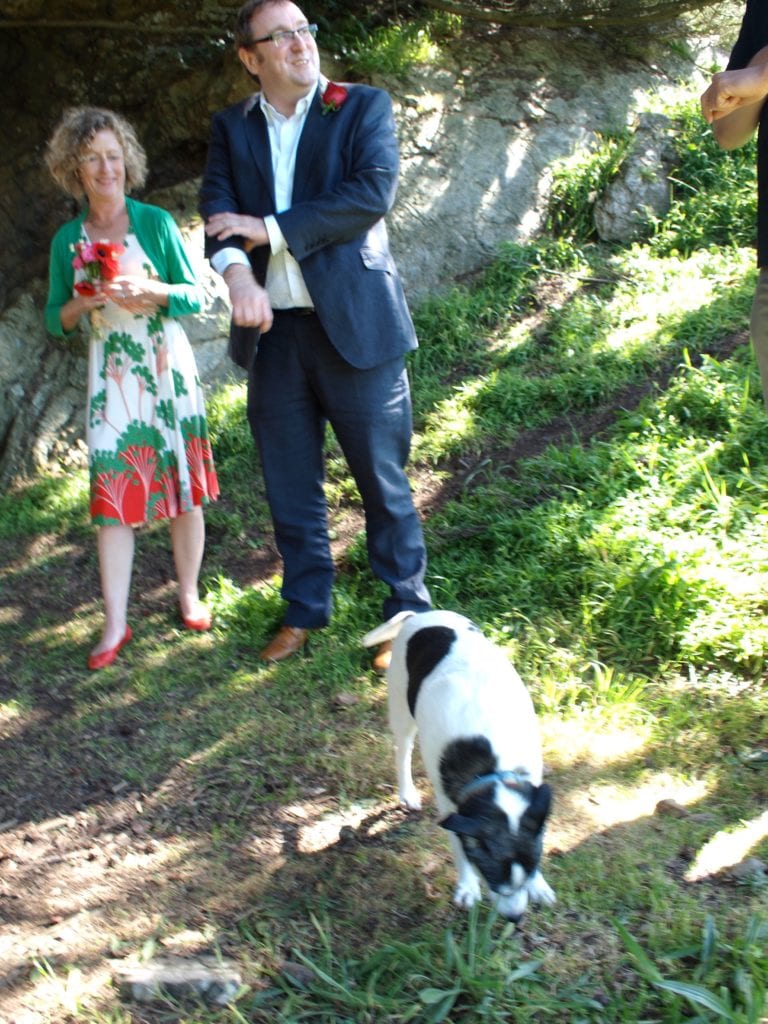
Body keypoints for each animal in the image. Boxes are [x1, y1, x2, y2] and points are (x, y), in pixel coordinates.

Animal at [364, 606, 557, 921]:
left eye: (529, 871)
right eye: (493, 877)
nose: (515, 919)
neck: (494, 769)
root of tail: (418, 615)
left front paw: (538, 884)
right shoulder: (450, 804)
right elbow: (458, 843)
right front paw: (467, 886)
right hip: (401, 709)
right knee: (402, 751)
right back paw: (407, 793)